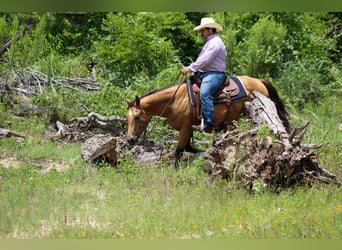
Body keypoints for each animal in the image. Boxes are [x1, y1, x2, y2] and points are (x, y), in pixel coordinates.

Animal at [124, 73, 290, 164]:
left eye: (137, 117)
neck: (174, 101)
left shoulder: (185, 129)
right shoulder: (189, 128)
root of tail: (259, 81)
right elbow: (189, 148)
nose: (130, 139)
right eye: (127, 117)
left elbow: (179, 151)